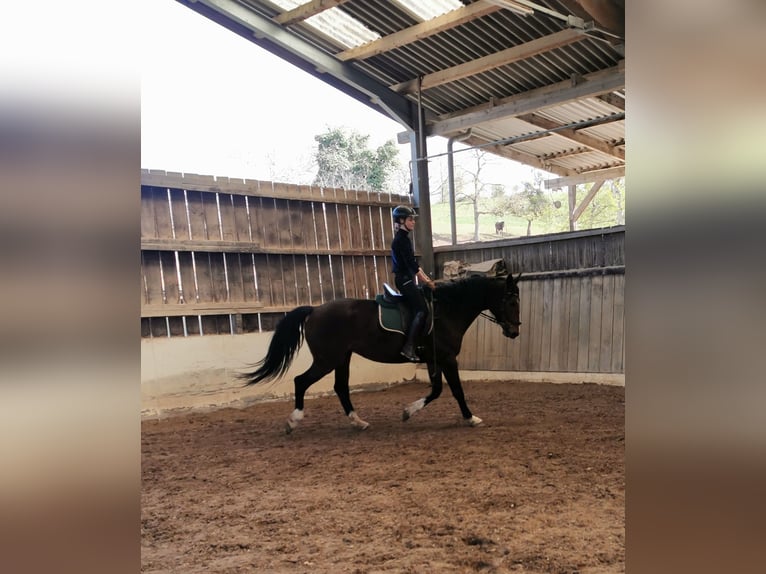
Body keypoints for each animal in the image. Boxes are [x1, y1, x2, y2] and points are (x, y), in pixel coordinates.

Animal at [240, 273, 521, 433]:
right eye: (511, 301)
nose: (515, 332)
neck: (447, 309)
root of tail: (315, 310)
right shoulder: (447, 358)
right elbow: (455, 390)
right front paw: (471, 418)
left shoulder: (434, 359)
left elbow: (436, 390)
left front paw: (408, 412)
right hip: (327, 359)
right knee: (302, 381)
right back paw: (293, 421)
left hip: (342, 358)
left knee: (340, 387)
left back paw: (358, 422)